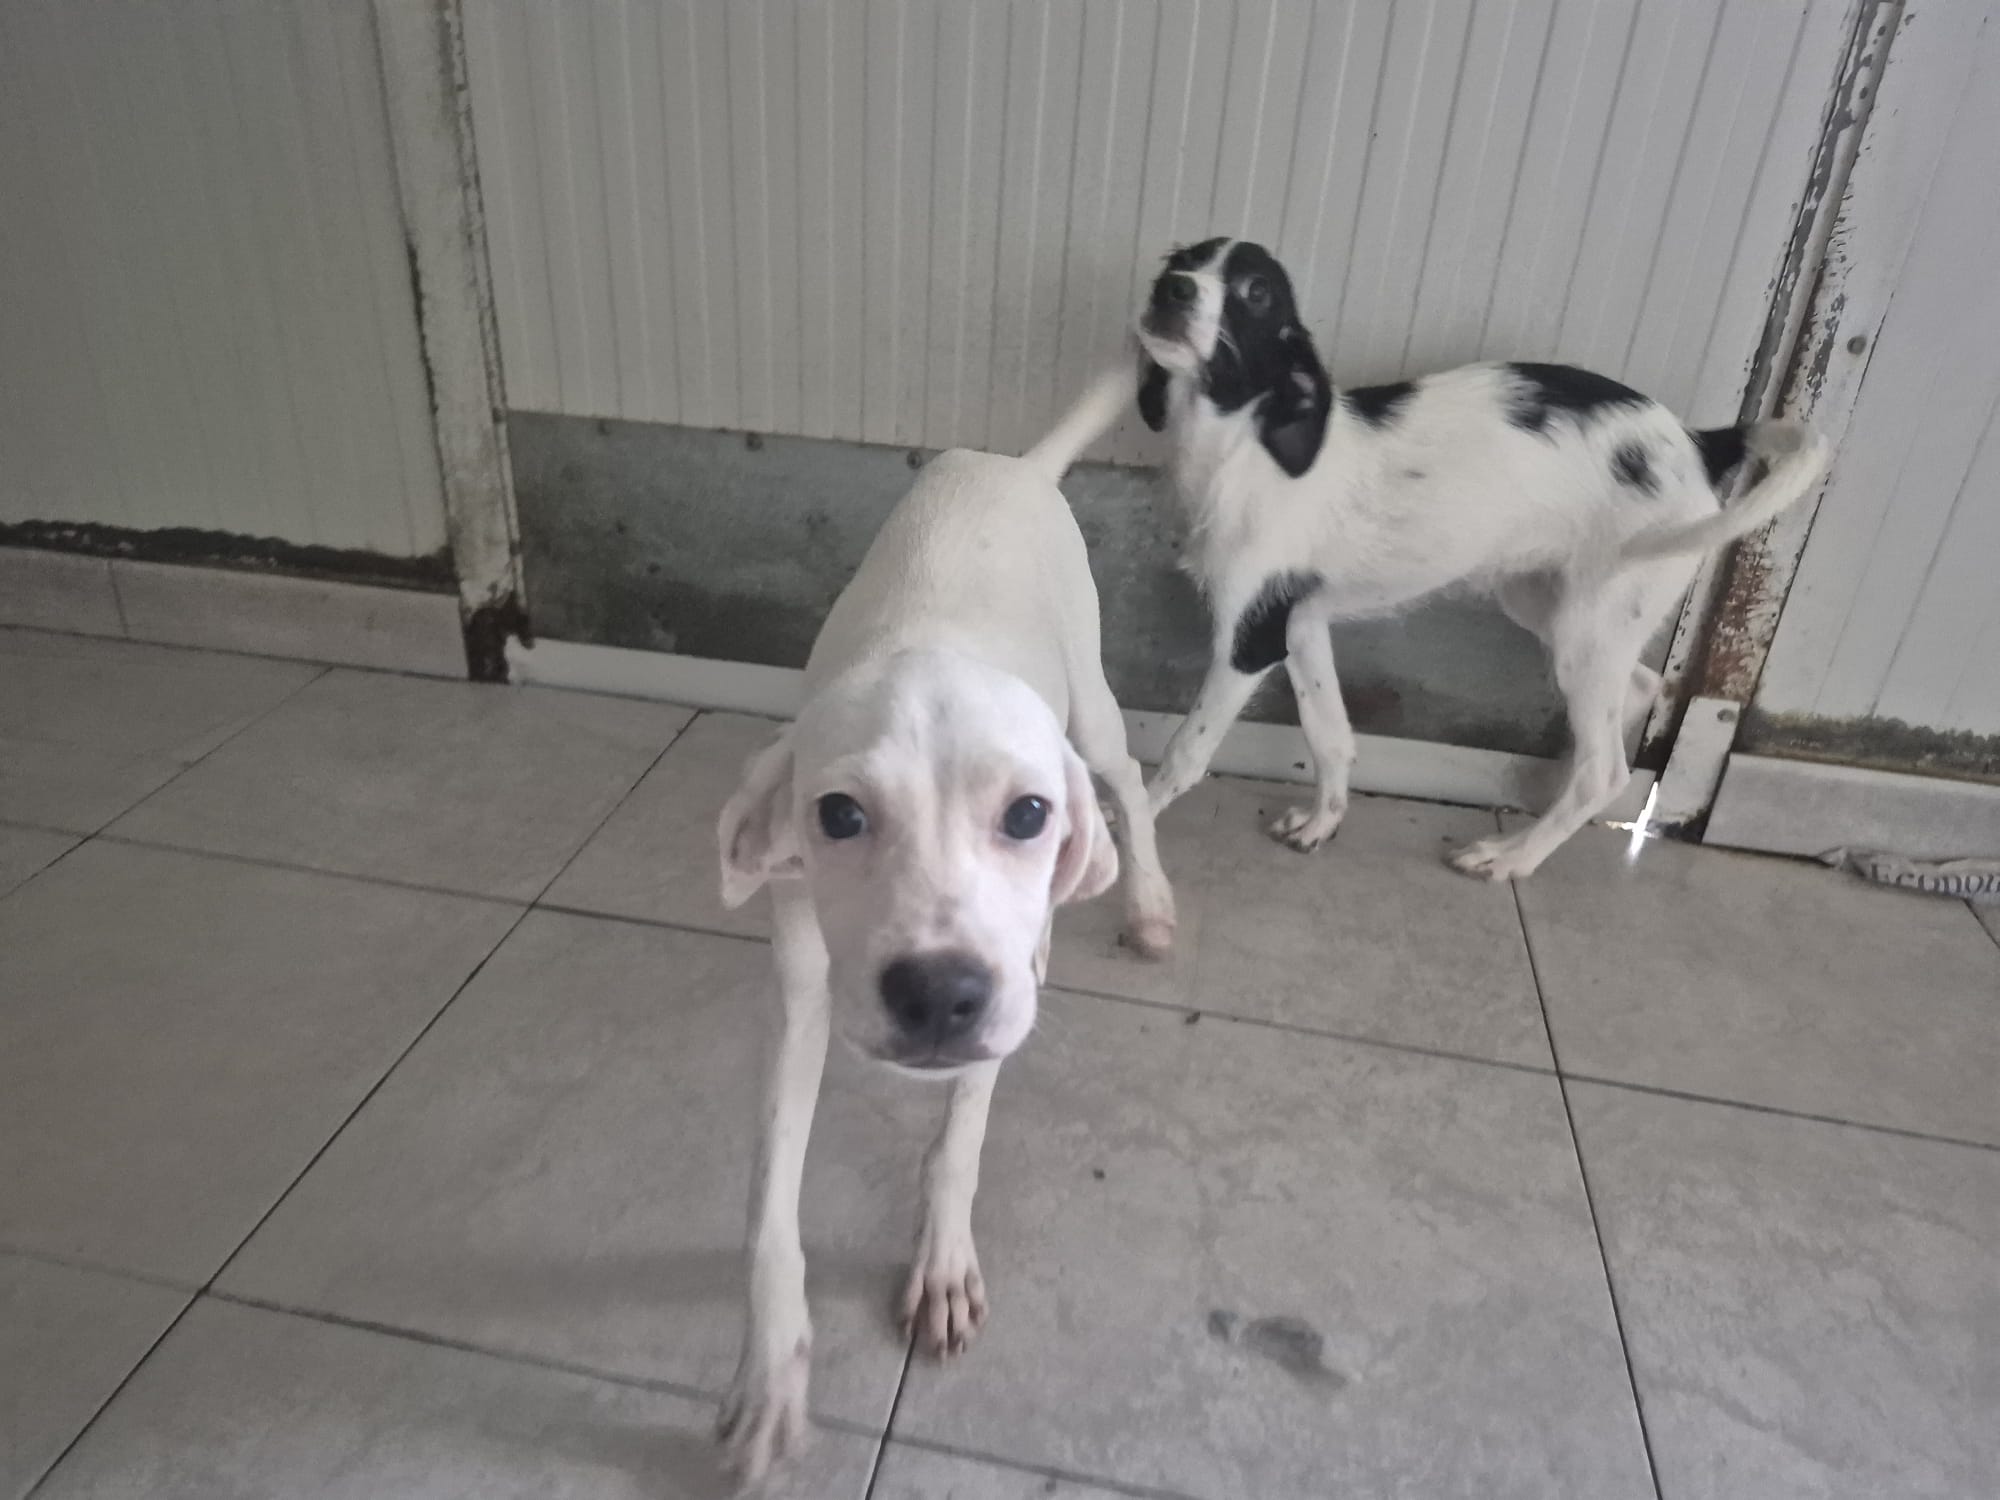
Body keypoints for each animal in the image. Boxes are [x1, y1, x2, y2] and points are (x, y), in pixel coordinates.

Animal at [712, 366, 1173, 1483]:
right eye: (838, 816)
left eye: (1028, 814)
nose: (936, 996)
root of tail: (1013, 466)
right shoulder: (799, 992)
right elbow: (767, 1200)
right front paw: (771, 1373)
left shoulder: (1007, 986)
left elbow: (961, 1132)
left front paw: (942, 1262)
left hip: (1093, 703)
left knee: (1130, 784)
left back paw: (1146, 899)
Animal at [1132, 236, 1828, 881]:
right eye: (1181, 259)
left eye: (1255, 292)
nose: (1172, 289)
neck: (1238, 447)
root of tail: (1702, 443)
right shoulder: (1298, 621)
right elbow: (1329, 734)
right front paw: (1322, 822)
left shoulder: (1249, 638)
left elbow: (1186, 750)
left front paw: (1132, 824)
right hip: (1551, 605)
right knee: (1633, 692)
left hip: (1590, 624)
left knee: (1606, 771)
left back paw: (1513, 857)